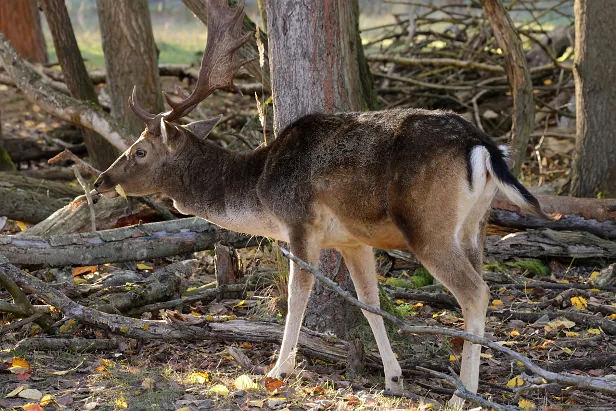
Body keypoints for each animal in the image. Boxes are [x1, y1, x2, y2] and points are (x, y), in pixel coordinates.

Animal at [95, 0, 548, 406]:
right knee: (479, 282)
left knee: (476, 292)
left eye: (139, 151)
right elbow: (370, 303)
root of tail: (483, 145)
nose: (101, 180)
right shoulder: (353, 240)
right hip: (476, 226)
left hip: (428, 227)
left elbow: (298, 296)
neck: (260, 188)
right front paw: (393, 378)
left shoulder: (301, 224)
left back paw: (462, 393)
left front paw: (278, 370)